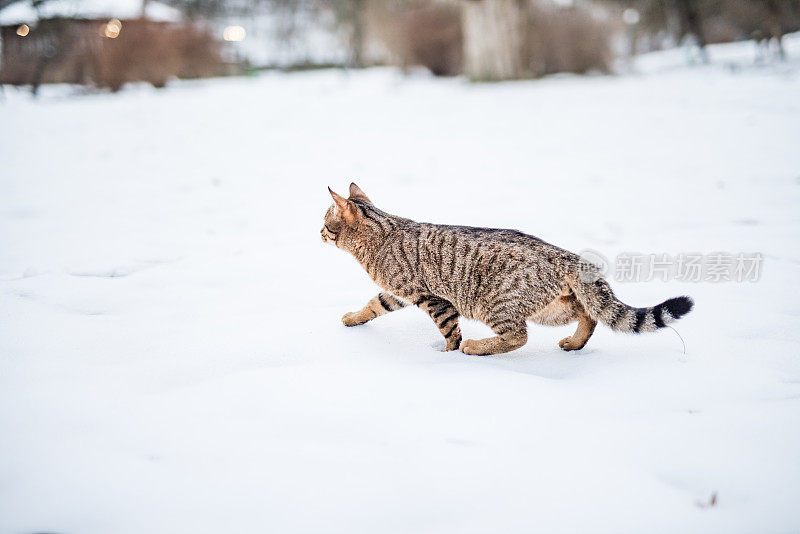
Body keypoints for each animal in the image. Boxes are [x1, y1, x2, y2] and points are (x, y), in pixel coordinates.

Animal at [322, 184, 692, 356]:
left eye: (325, 223)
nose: (317, 233)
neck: (382, 233)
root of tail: (567, 255)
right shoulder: (399, 293)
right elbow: (374, 305)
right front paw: (354, 318)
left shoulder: (430, 297)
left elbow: (449, 331)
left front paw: (446, 356)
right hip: (551, 308)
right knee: (589, 313)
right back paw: (575, 343)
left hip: (496, 302)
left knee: (518, 336)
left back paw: (478, 347)